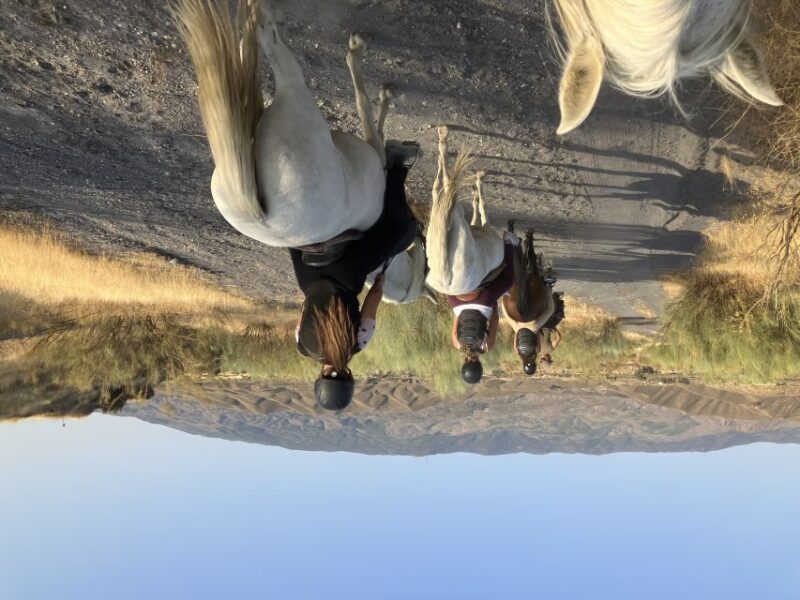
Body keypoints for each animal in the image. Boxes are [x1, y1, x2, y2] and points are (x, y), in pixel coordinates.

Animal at [172, 0, 426, 303]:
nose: (420, 235)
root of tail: (259, 215)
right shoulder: (374, 150)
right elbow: (365, 106)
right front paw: (380, 85)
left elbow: (371, 116)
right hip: (295, 89)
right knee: (269, 39)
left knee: (252, 45)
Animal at [425, 126, 505, 296]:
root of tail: (446, 280)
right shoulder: (483, 227)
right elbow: (481, 207)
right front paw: (477, 187)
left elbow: (480, 208)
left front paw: (477, 186)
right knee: (443, 186)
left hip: (453, 222)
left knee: (443, 186)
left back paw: (443, 139)